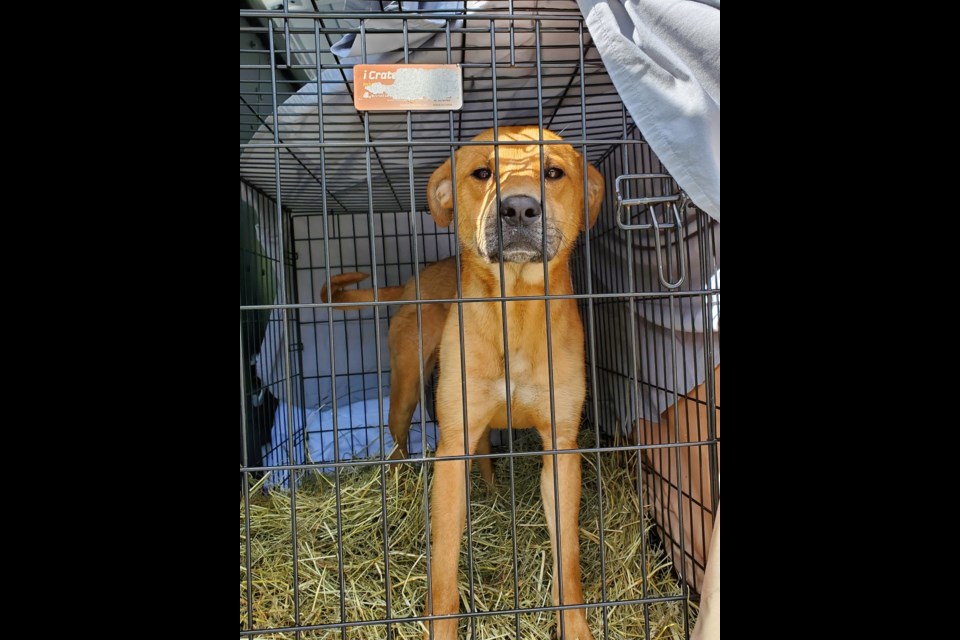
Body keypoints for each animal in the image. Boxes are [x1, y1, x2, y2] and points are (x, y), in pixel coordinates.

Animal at [426, 126, 604, 640]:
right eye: (482, 172)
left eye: (553, 172)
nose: (520, 208)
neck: (517, 307)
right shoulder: (453, 446)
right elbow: (443, 570)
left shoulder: (561, 448)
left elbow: (569, 558)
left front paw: (575, 627)